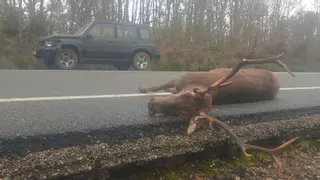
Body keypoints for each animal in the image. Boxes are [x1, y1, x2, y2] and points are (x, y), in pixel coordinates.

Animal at [139, 52, 298, 168]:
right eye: (185, 94)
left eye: (182, 113)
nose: (150, 104)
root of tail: (277, 81)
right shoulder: (181, 79)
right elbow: (159, 85)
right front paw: (143, 89)